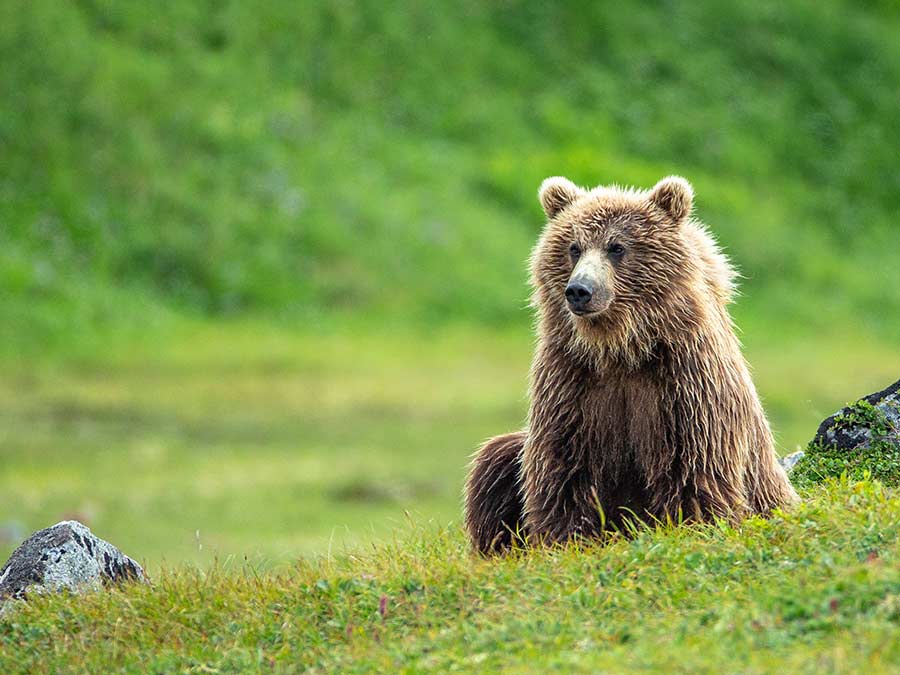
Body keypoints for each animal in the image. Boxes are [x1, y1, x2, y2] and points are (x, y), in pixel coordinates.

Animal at [465, 175, 798, 555]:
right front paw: (566, 539)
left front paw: (692, 523)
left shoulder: (686, 382)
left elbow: (693, 463)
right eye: (574, 247)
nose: (579, 290)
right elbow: (564, 469)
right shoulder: (571, 382)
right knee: (495, 462)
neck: (620, 349)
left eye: (616, 247)